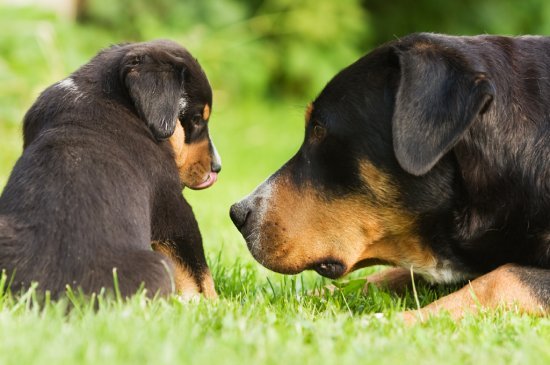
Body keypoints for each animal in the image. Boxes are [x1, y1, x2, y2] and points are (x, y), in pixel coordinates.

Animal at [0, 38, 220, 298]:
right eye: (196, 119)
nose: (217, 167)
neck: (104, 94)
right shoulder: (172, 205)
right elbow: (198, 270)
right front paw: (211, 302)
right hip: (156, 265)